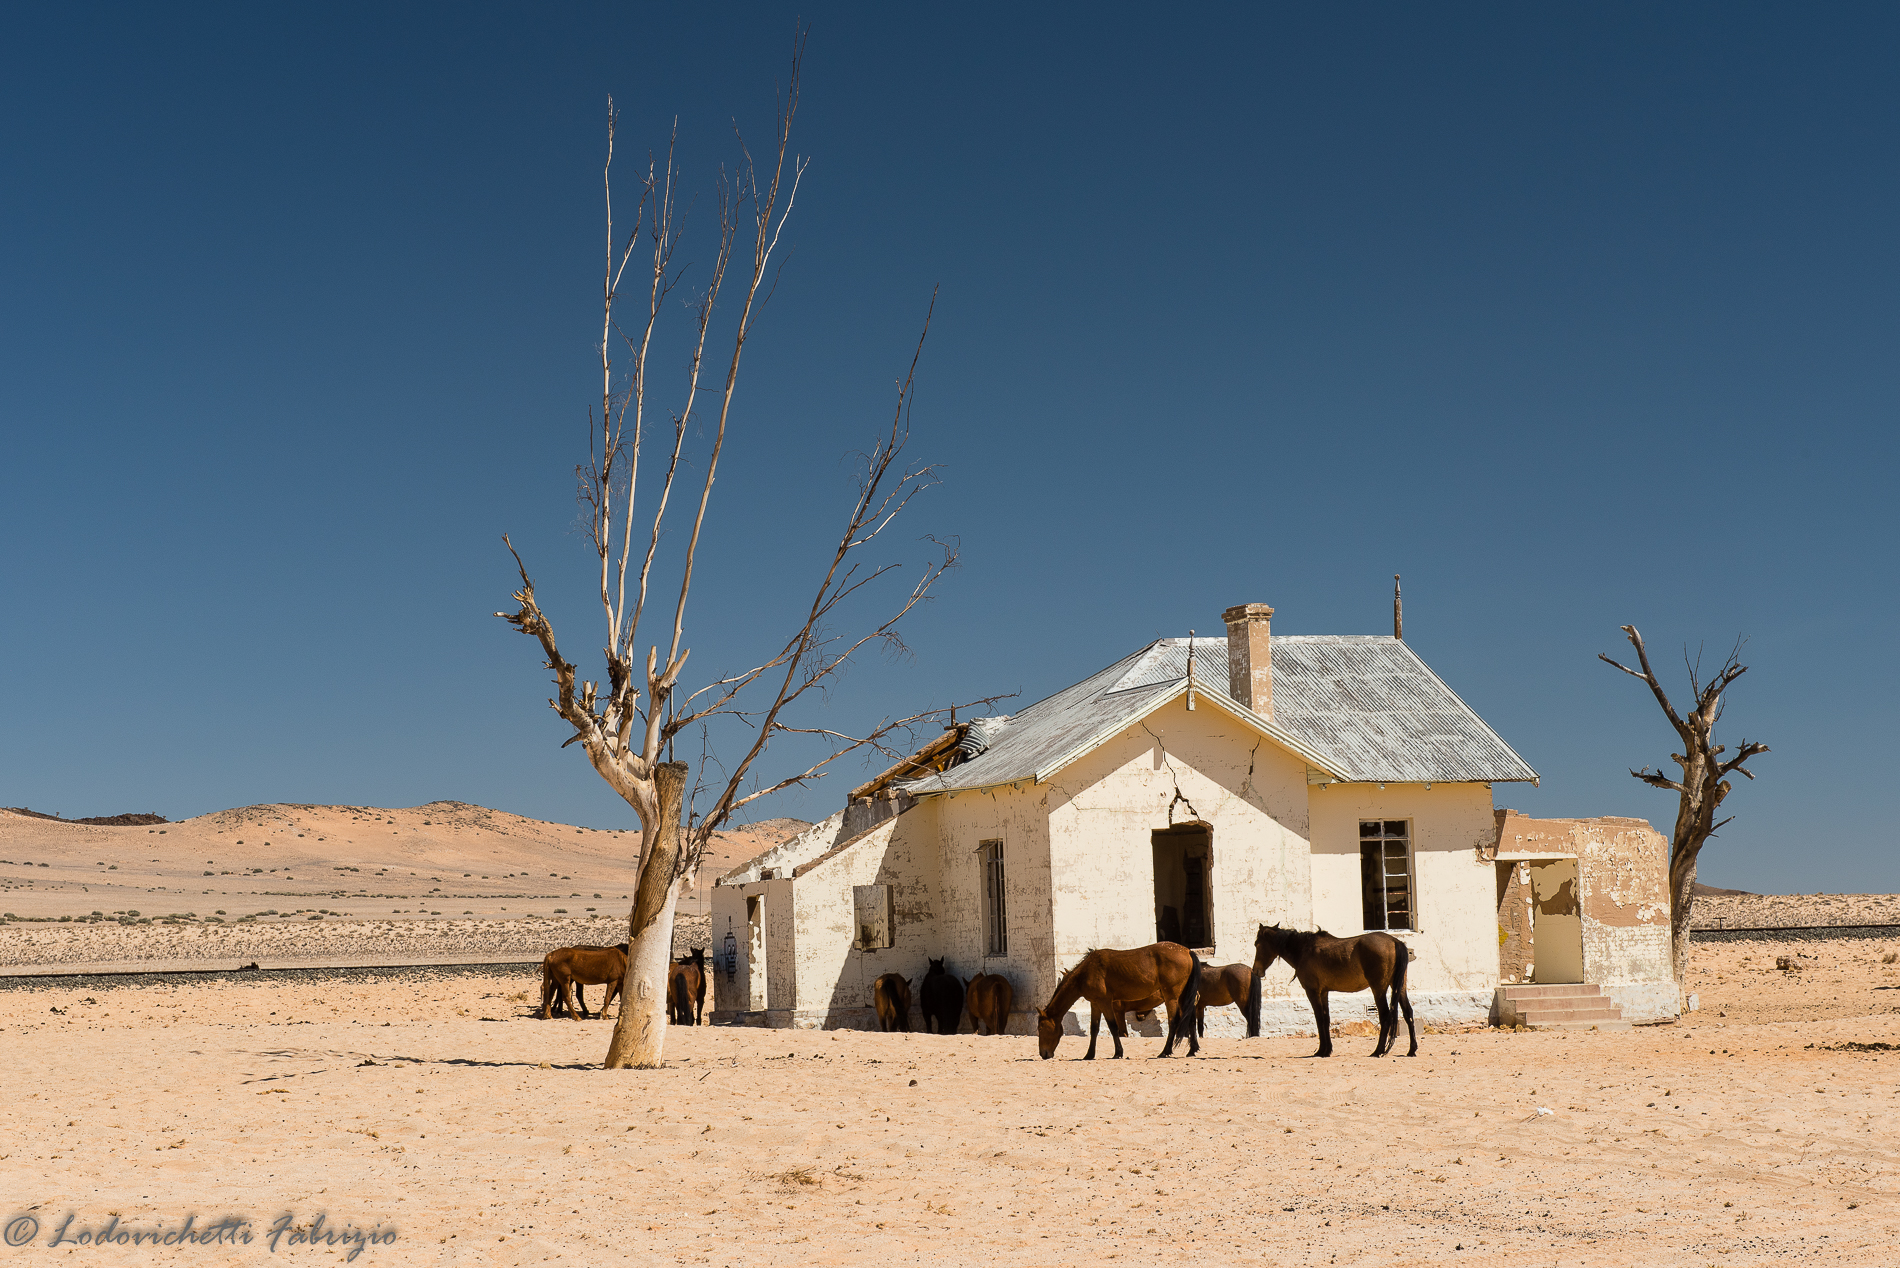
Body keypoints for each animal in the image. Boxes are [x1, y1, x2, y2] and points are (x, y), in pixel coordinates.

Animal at [1035, 943, 1200, 1060]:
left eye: (1040, 1028)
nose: (1043, 1054)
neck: (1086, 972)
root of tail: (1187, 951)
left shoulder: (1105, 1002)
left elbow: (1113, 1027)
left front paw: (1118, 1052)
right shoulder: (1095, 1004)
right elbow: (1094, 1029)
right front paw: (1089, 1055)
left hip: (1171, 997)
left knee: (1174, 1021)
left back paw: (1165, 1051)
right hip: (1183, 996)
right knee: (1191, 1019)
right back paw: (1192, 1050)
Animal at [1253, 923, 1416, 1058]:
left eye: (1257, 944)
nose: (1255, 970)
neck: (1303, 950)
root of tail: (1395, 942)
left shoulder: (1313, 992)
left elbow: (1319, 1019)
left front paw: (1321, 1051)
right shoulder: (1324, 992)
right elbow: (1326, 1019)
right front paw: (1327, 1050)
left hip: (1379, 988)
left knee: (1385, 1015)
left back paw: (1378, 1051)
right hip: (1399, 987)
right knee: (1408, 1013)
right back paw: (1412, 1050)